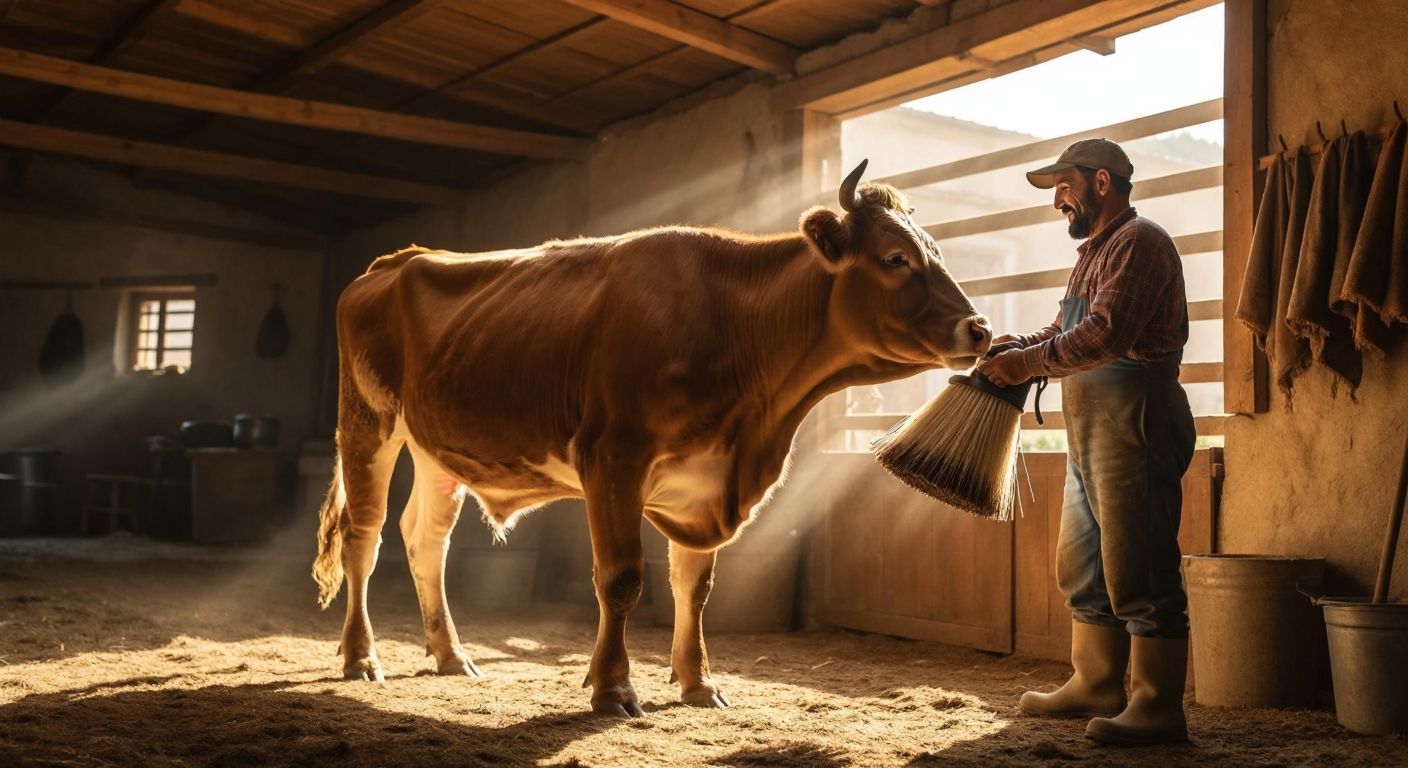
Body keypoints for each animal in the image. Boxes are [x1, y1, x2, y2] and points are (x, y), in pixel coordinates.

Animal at [312, 160, 991, 716]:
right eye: (895, 258)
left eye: (935, 251)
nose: (980, 329)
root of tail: (397, 259)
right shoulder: (613, 458)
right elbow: (621, 579)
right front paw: (613, 688)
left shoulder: (706, 479)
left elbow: (695, 586)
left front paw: (698, 684)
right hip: (368, 423)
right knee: (365, 538)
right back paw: (361, 657)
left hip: (439, 448)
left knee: (426, 540)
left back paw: (451, 654)